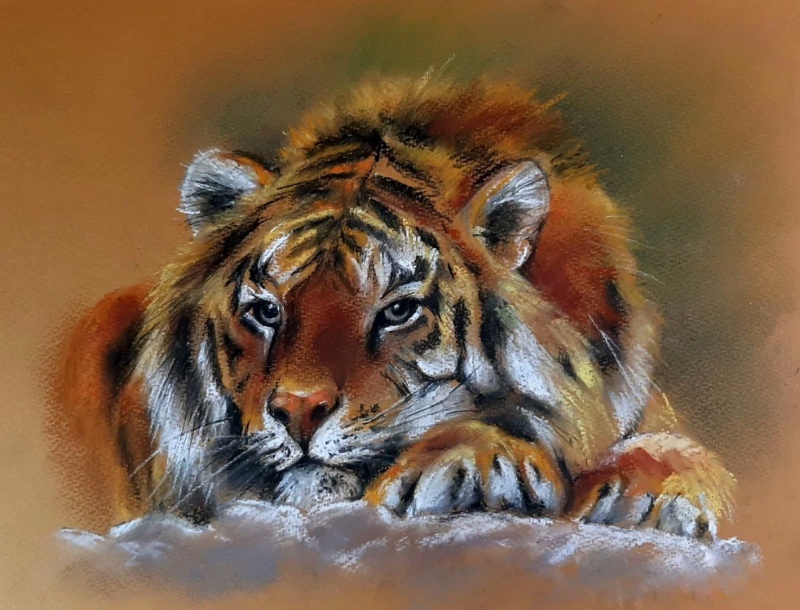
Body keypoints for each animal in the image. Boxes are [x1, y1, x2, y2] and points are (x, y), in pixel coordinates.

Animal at [52, 75, 734, 538]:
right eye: (266, 311)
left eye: (399, 311)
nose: (298, 411)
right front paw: (477, 462)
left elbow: (674, 447)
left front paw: (645, 494)